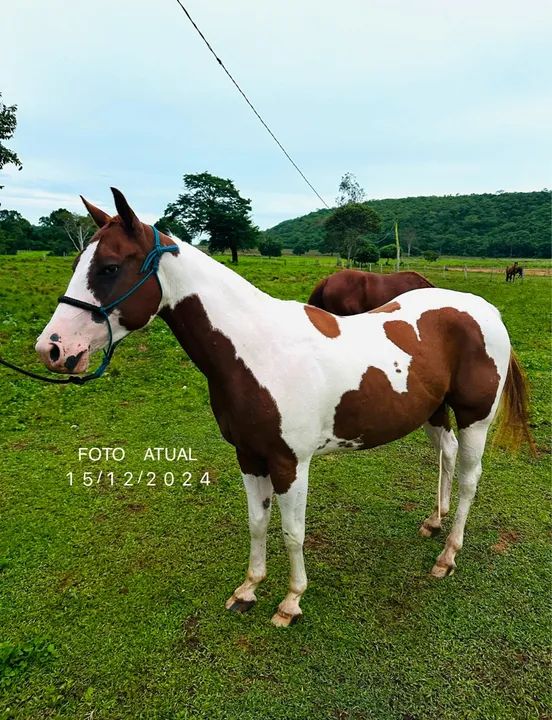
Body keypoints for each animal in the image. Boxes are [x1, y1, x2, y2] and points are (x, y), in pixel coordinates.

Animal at [35, 189, 534, 627]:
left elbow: (292, 532)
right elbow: (258, 523)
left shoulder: (290, 463)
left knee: (469, 479)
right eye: (79, 263)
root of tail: (486, 310)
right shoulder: (249, 456)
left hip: (475, 419)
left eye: (109, 267)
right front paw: (248, 590)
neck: (256, 350)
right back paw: (434, 521)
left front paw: (291, 602)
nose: (52, 349)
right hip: (433, 411)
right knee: (445, 455)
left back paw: (447, 556)